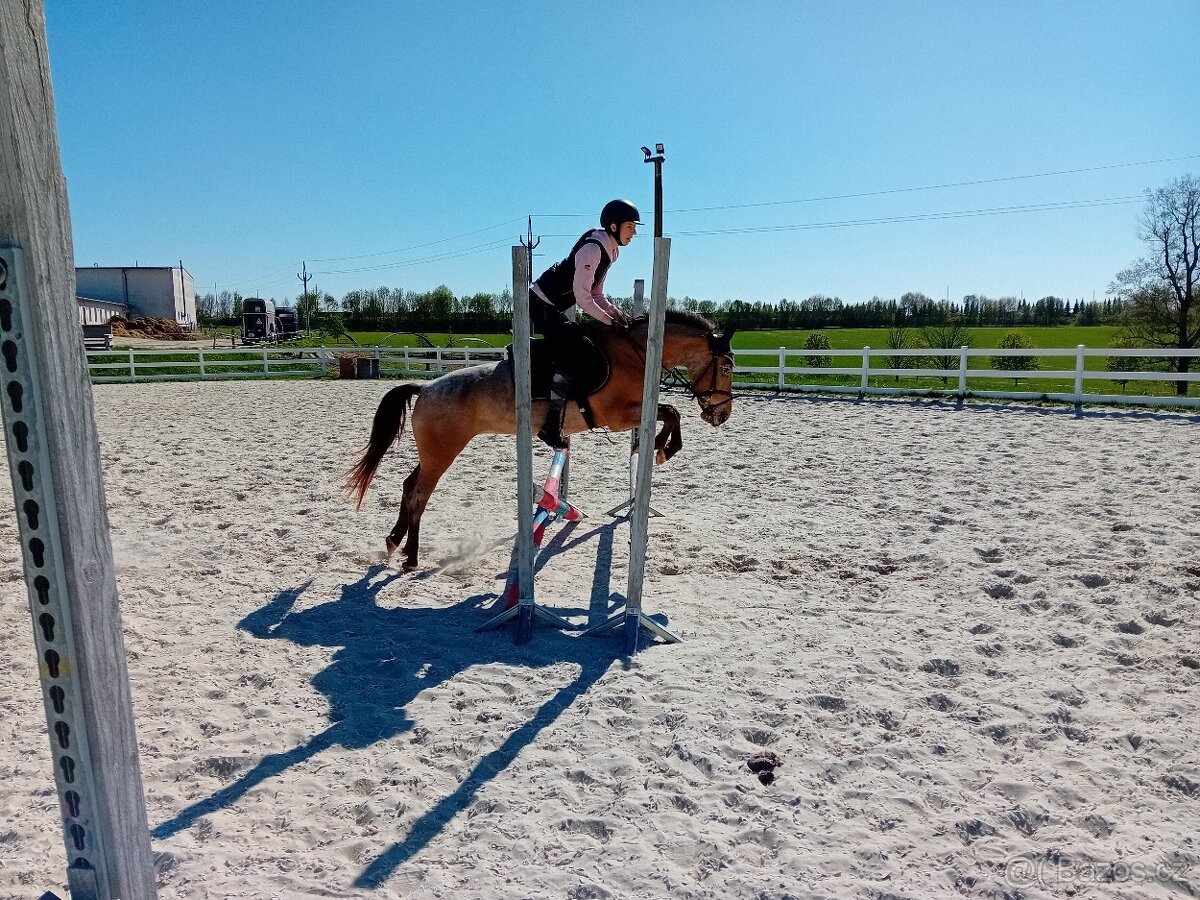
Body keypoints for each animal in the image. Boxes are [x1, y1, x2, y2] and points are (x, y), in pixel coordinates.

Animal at [346, 310, 736, 571]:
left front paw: (656, 446)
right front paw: (662, 448)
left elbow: (669, 413)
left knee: (408, 485)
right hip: (443, 453)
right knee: (418, 495)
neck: (638, 354)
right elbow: (671, 411)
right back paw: (411, 556)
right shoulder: (617, 416)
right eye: (727, 368)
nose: (721, 415)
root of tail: (425, 387)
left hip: (432, 452)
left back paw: (393, 542)